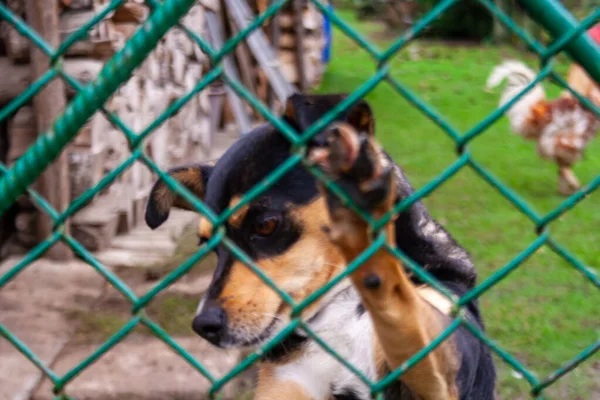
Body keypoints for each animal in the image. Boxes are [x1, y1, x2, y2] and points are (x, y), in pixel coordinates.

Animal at [143, 94, 494, 400]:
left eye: (265, 225)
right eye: (207, 243)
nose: (204, 326)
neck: (337, 304)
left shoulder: (439, 372)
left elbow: (400, 304)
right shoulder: (286, 385)